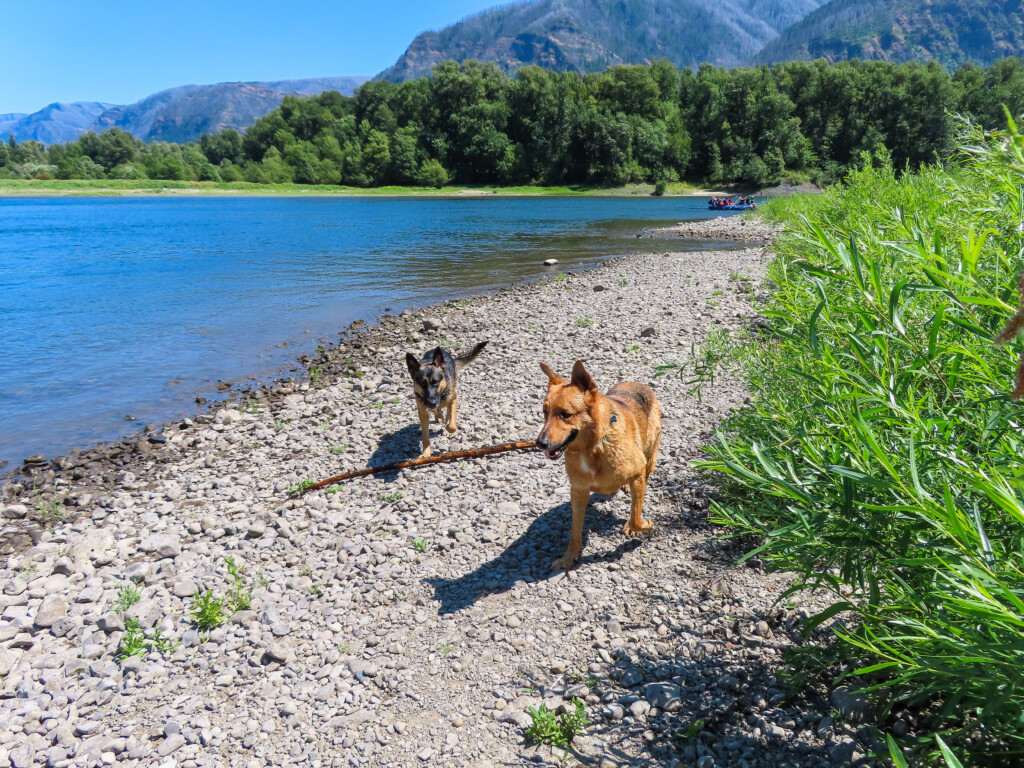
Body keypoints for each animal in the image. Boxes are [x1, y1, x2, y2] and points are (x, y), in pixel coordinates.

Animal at [540, 360, 659, 573]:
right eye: (545, 413)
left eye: (566, 415)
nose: (540, 443)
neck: (592, 448)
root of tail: (636, 384)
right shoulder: (578, 492)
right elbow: (574, 533)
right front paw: (568, 559)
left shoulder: (638, 473)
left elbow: (636, 517)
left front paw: (643, 524)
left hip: (650, 454)